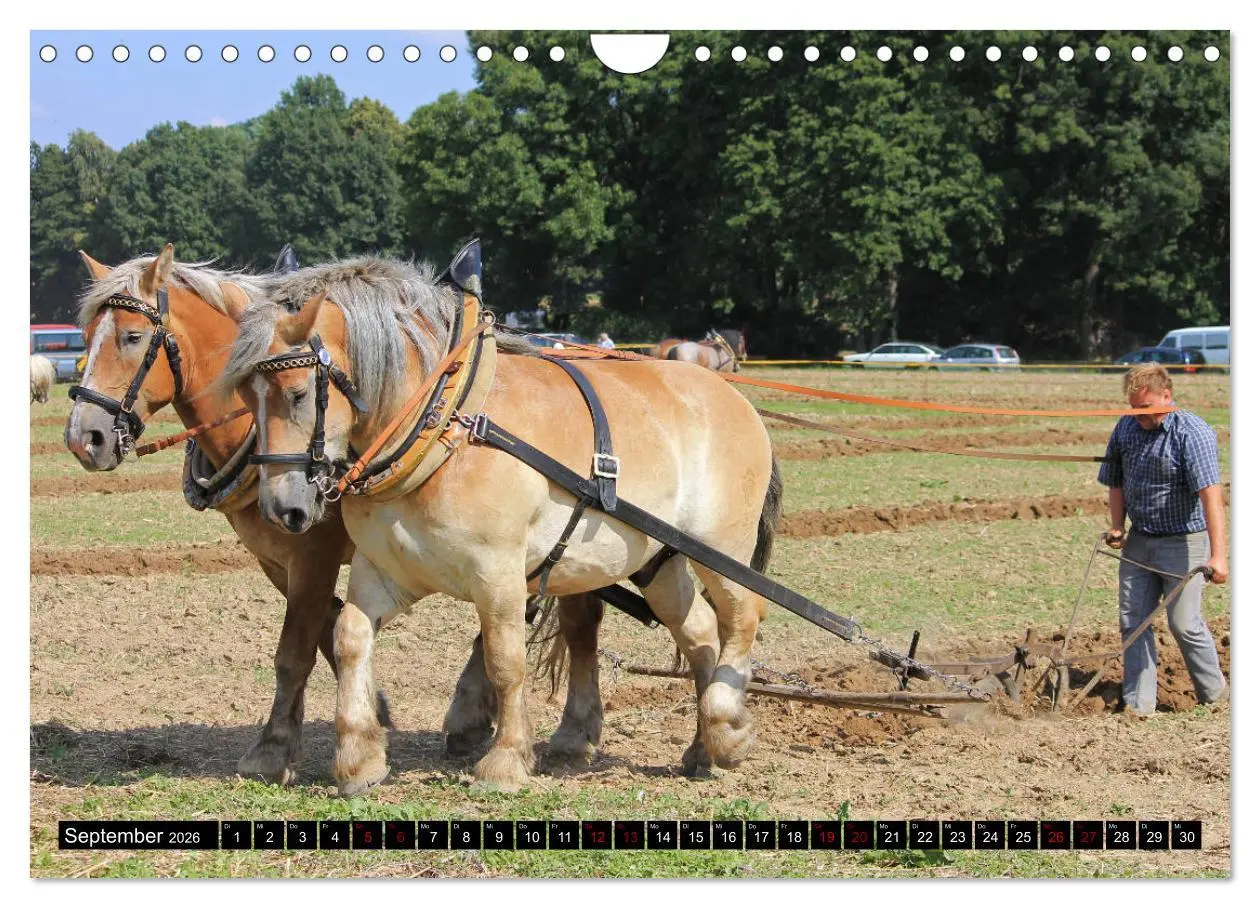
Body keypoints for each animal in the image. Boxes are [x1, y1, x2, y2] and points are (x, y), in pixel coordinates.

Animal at [219, 249, 780, 795]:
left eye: (295, 393)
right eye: (245, 398)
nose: (282, 508)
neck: (446, 428)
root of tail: (732, 394)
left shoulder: (499, 574)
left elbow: (505, 662)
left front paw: (506, 760)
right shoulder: (383, 570)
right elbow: (350, 637)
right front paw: (359, 757)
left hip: (721, 548)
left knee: (743, 616)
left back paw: (728, 728)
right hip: (658, 561)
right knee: (702, 632)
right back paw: (703, 747)